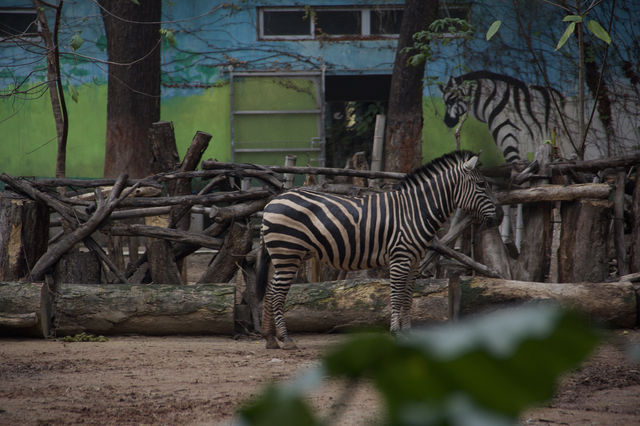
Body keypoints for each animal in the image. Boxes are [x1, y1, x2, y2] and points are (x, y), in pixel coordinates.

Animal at [256, 150, 500, 350]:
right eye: (481, 185)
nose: (498, 219)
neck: (416, 211)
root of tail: (271, 202)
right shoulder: (400, 257)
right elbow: (396, 296)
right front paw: (396, 333)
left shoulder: (414, 260)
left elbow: (408, 298)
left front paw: (408, 334)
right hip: (288, 253)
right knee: (277, 293)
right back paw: (285, 339)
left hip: (282, 256)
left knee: (270, 290)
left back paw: (270, 339)